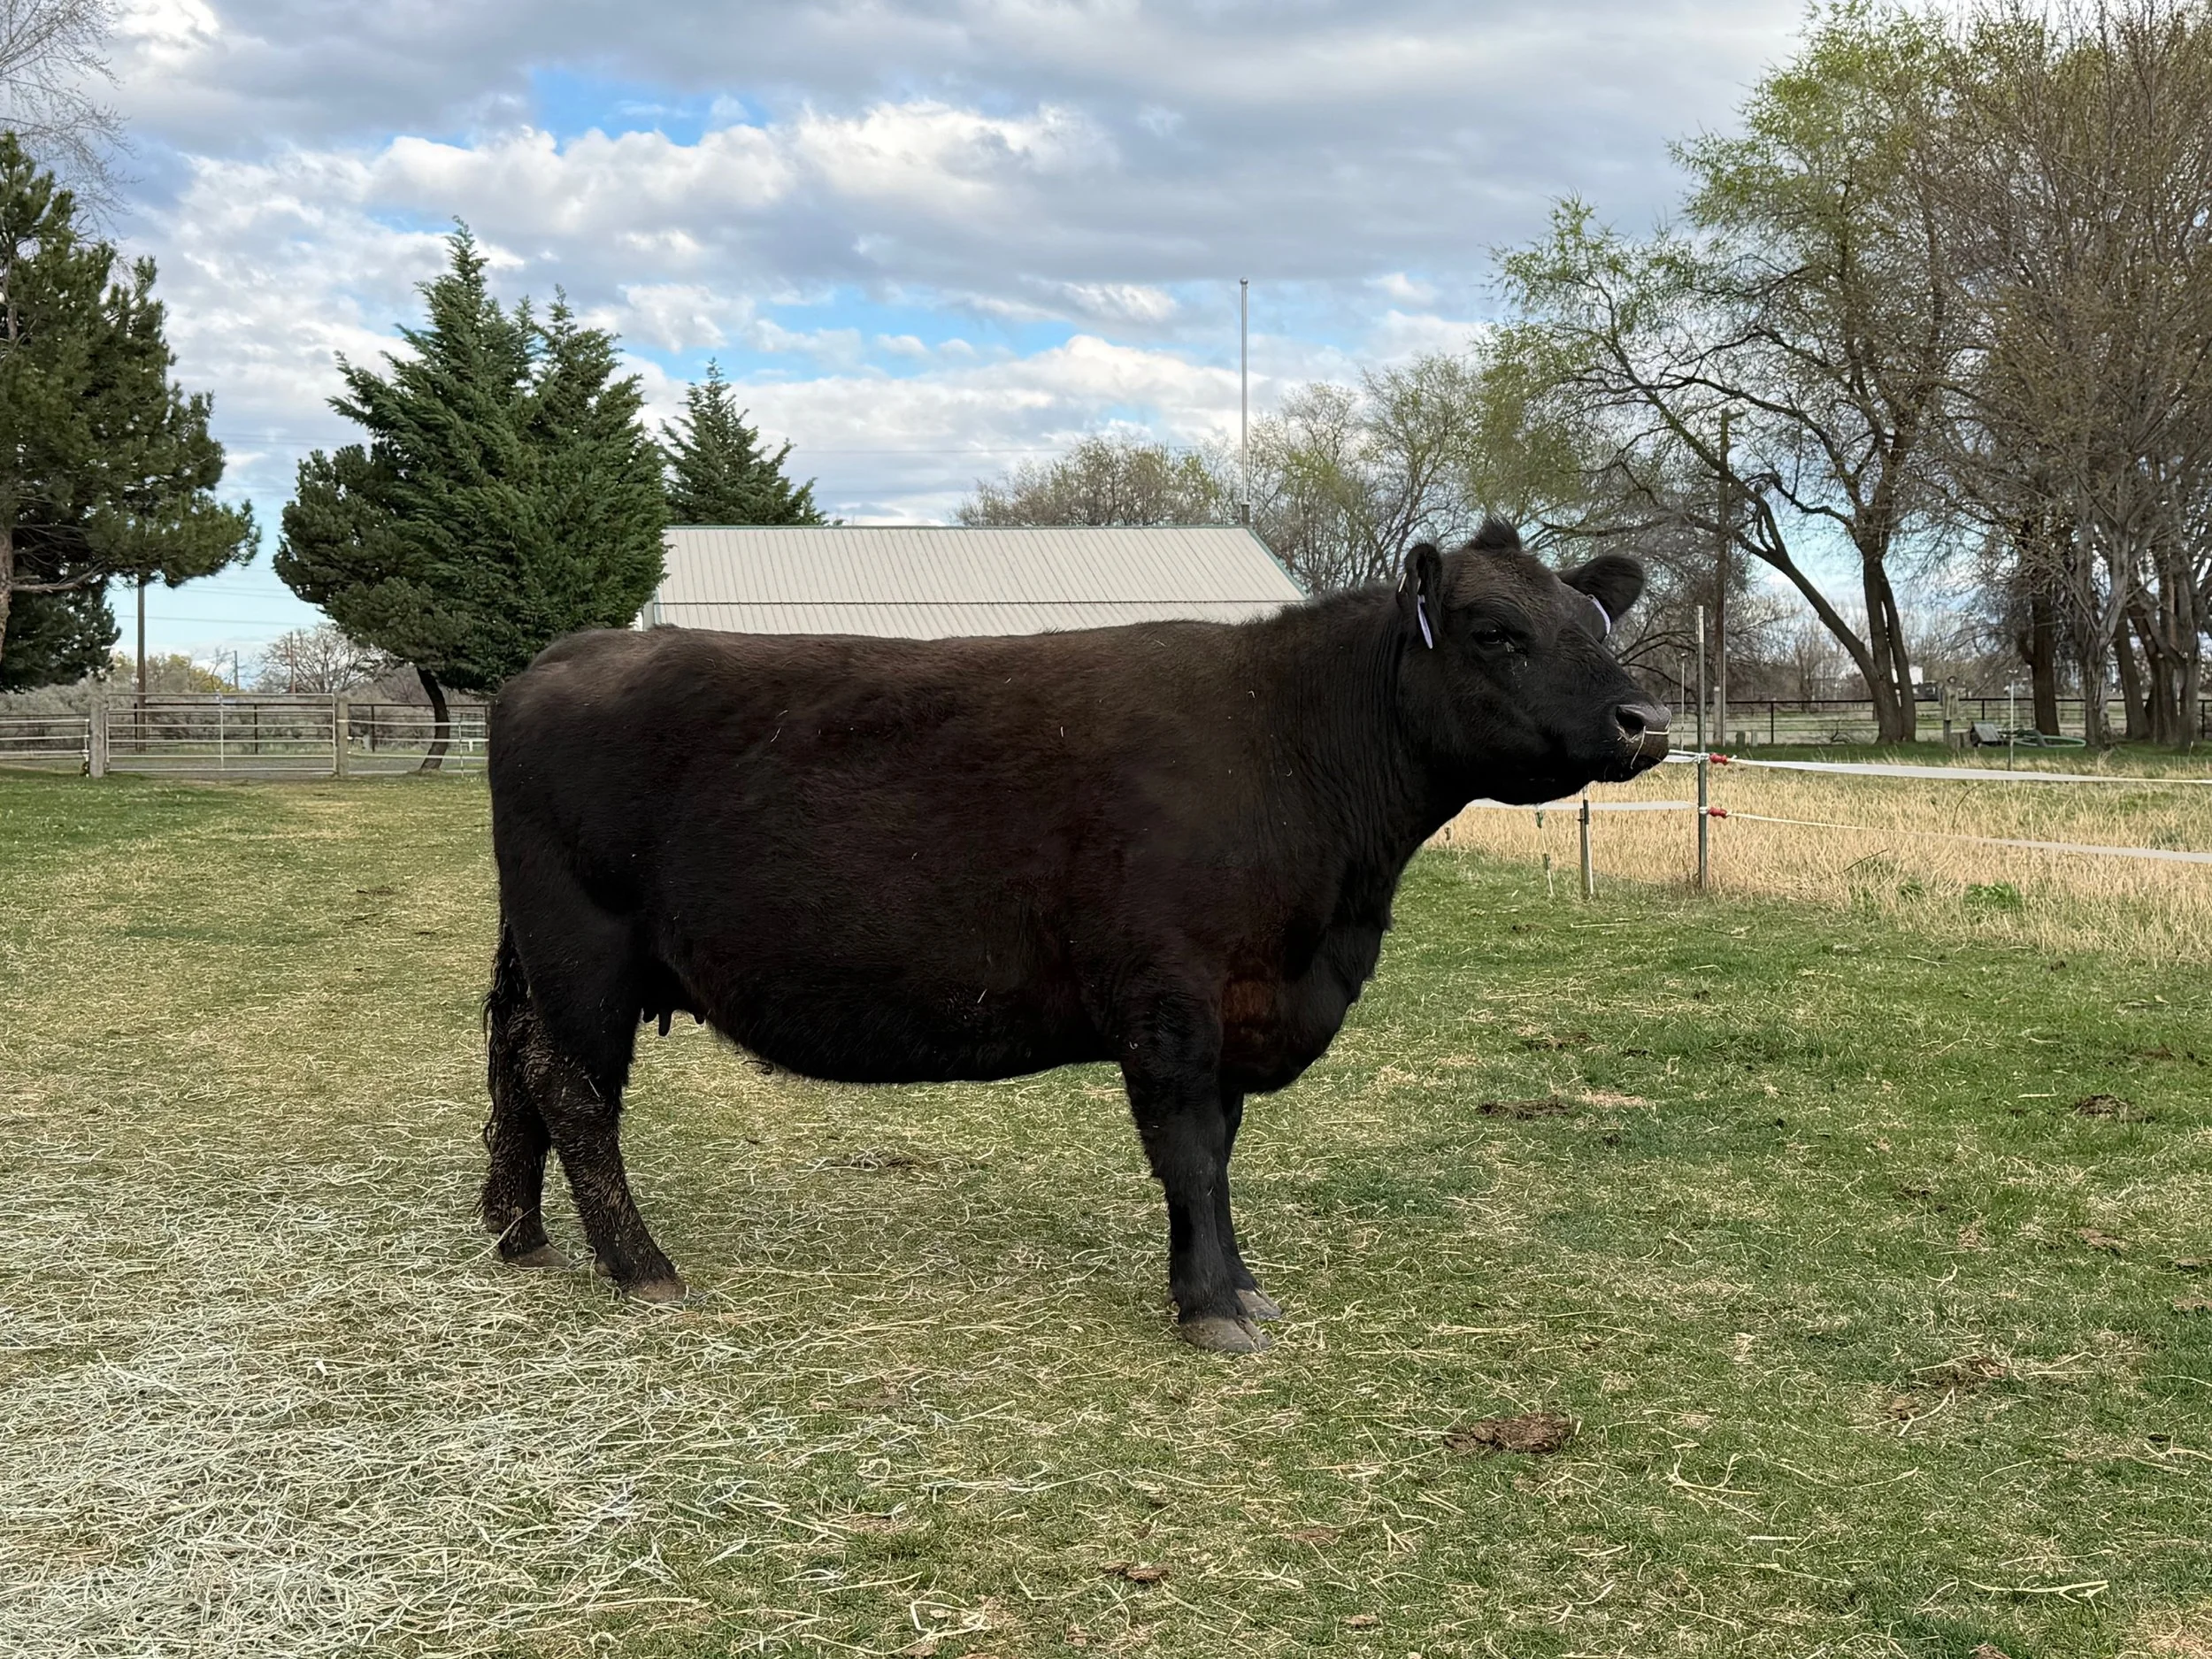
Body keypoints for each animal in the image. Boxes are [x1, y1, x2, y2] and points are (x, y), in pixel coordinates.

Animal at [482, 519, 1668, 1352]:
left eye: (1594, 625)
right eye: (1496, 632)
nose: (1645, 722)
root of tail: (559, 659)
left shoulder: (1236, 1003)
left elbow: (1219, 1151)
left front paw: (1236, 1287)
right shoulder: (1169, 1000)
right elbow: (1187, 1149)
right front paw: (1209, 1307)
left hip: (543, 953)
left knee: (512, 1063)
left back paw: (516, 1233)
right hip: (585, 950)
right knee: (571, 1092)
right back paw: (640, 1266)